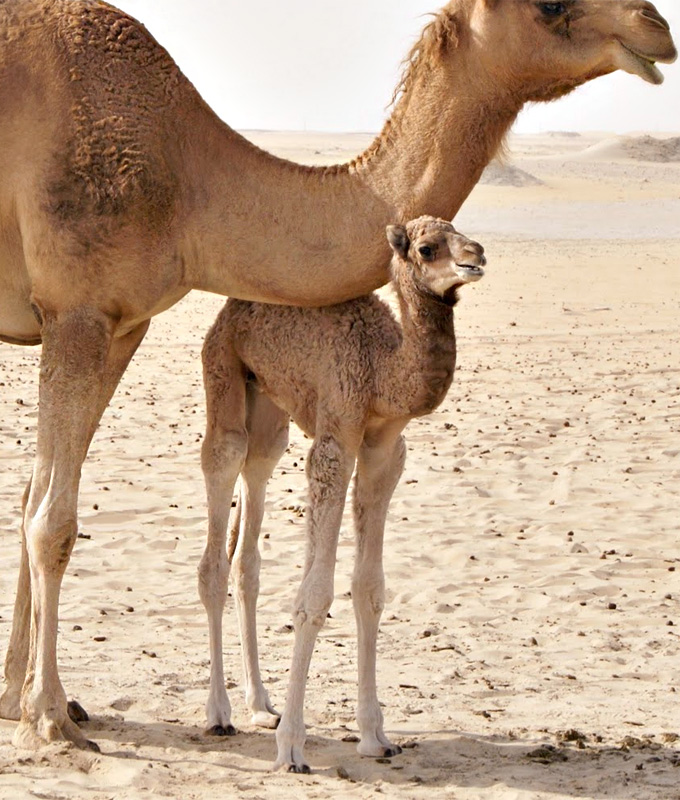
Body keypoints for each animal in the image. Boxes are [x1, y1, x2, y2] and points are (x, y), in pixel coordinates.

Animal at [199, 216, 486, 772]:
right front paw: (291, 746)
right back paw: (219, 712)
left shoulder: (385, 452)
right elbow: (314, 597)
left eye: (463, 233)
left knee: (251, 524)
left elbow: (370, 590)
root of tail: (232, 308)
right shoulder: (335, 439)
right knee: (220, 500)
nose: (476, 257)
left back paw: (259, 703)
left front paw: (376, 736)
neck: (381, 372)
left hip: (268, 405)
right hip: (222, 367)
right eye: (427, 248)